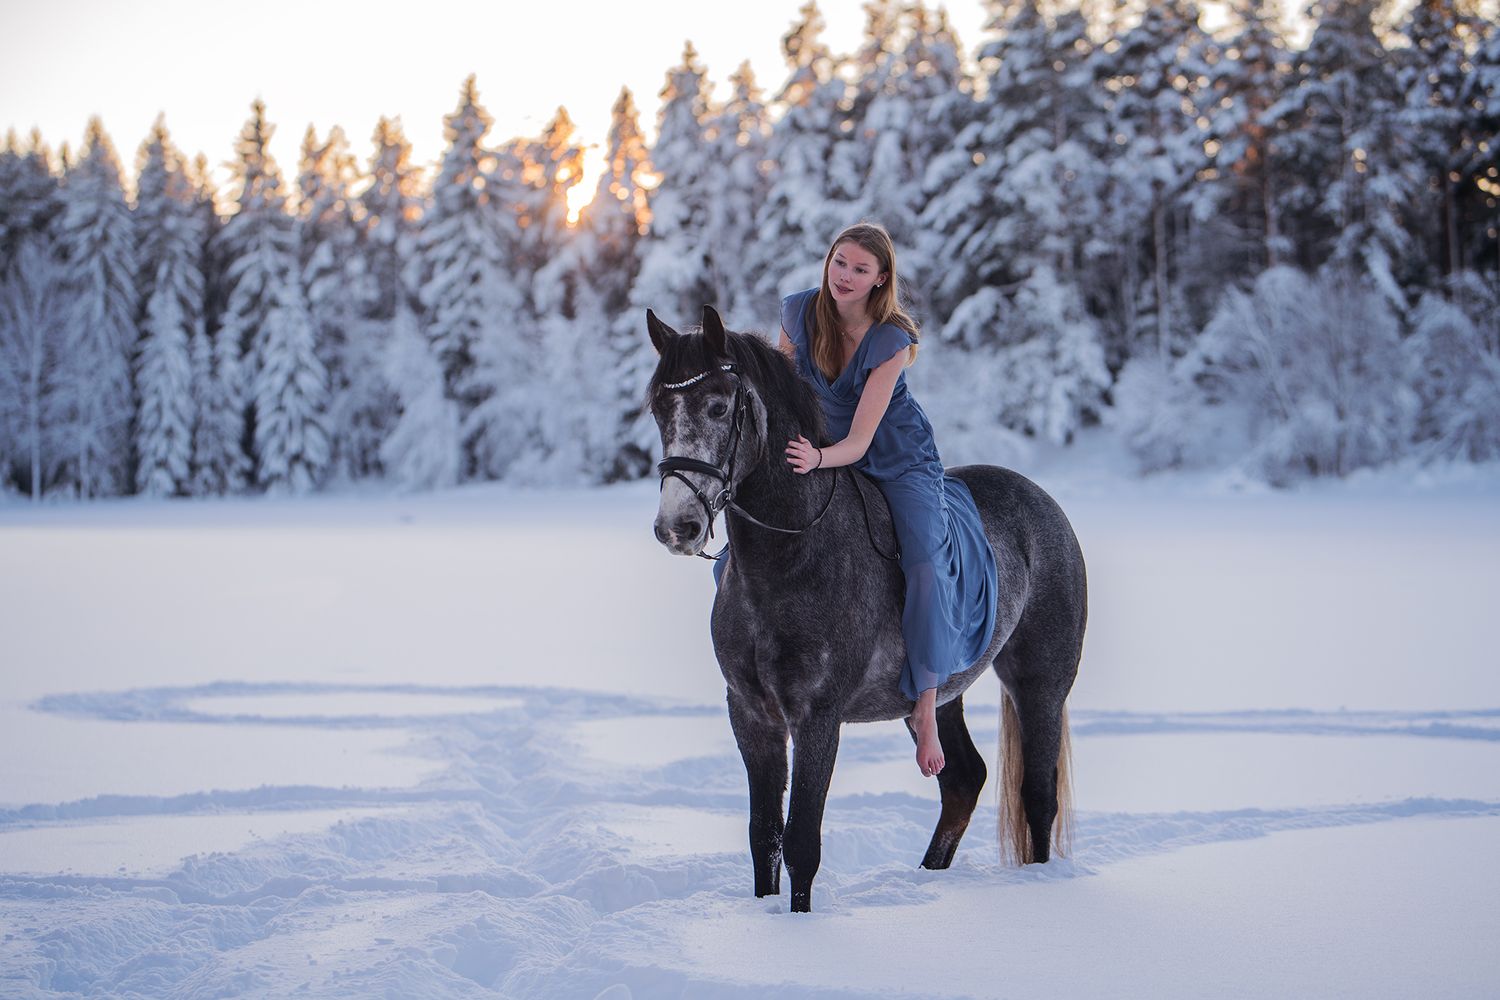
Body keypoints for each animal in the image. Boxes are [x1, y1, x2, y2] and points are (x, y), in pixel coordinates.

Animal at [646, 305, 1086, 913]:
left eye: (717, 405)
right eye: (659, 409)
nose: (677, 527)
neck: (789, 558)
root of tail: (1045, 505)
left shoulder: (817, 717)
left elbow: (802, 844)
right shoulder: (752, 715)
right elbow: (765, 840)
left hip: (1040, 684)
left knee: (1037, 795)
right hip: (938, 698)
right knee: (963, 780)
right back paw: (928, 877)